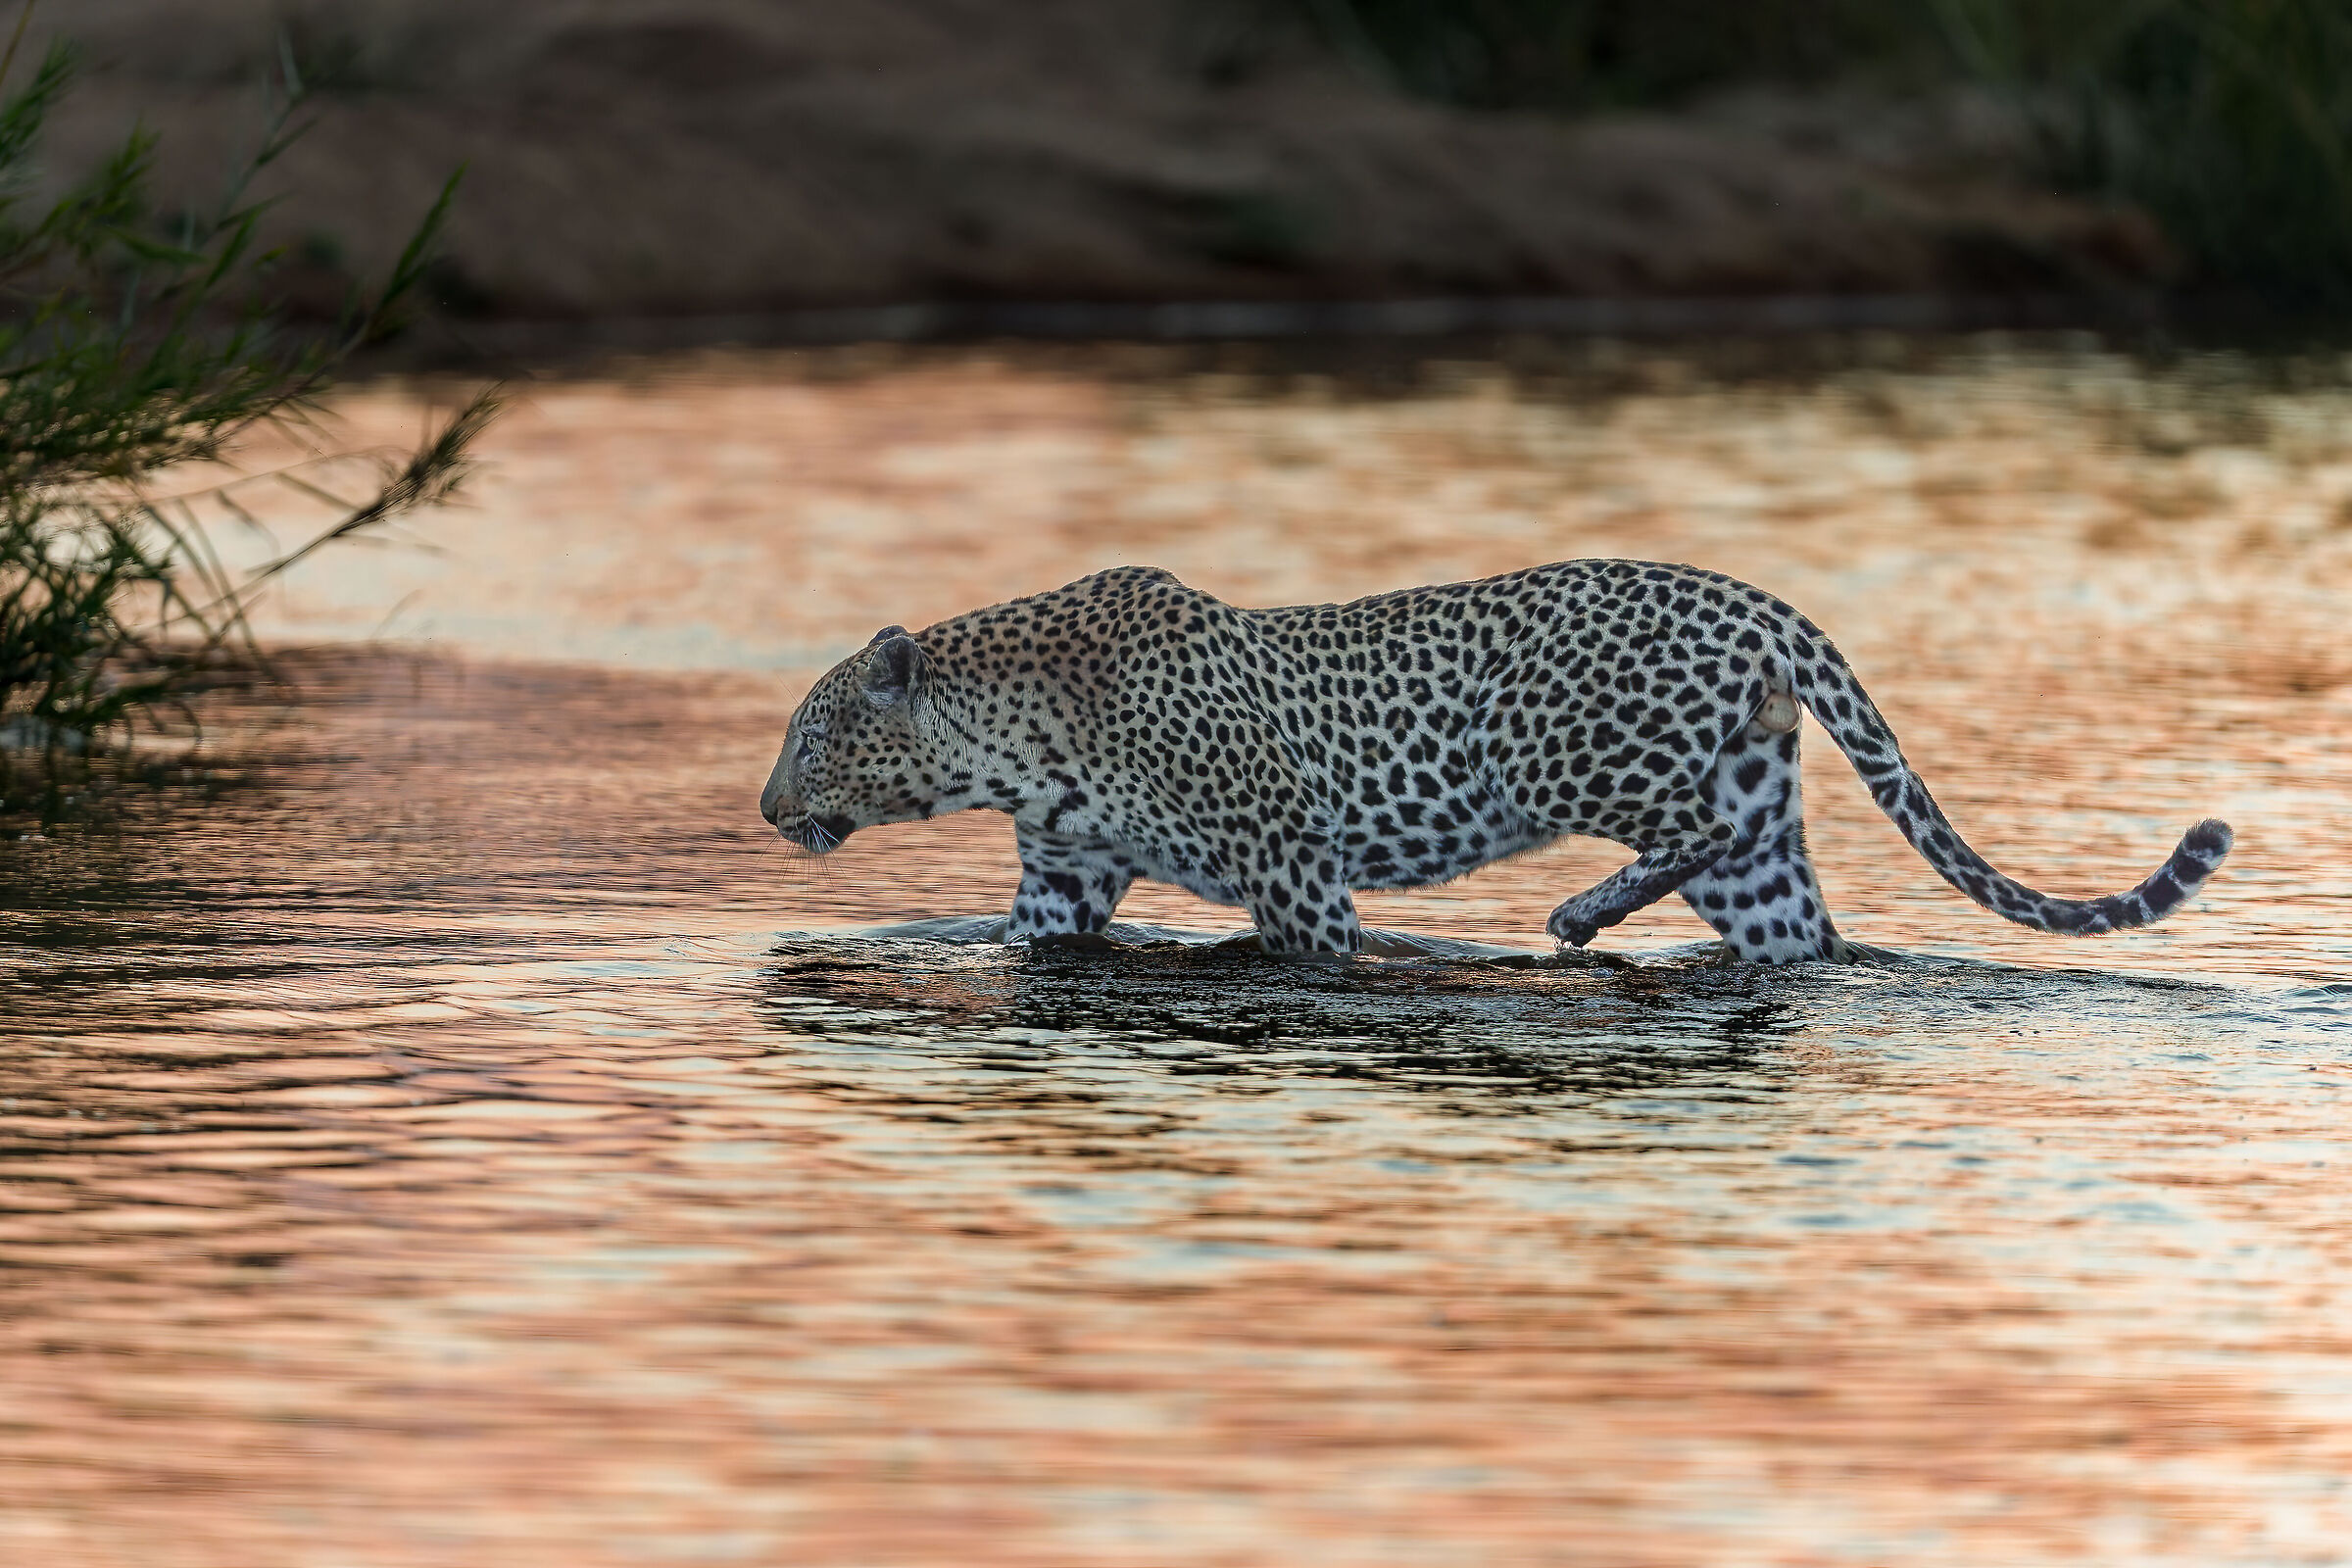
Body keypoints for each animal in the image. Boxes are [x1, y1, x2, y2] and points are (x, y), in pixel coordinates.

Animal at [759, 560, 2232, 962]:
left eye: (811, 735)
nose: (768, 808)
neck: (1012, 745)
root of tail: (1753, 597)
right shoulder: (1062, 877)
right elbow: (1026, 938)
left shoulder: (1290, 864)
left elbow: (1321, 946)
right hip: (1760, 842)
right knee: (1791, 922)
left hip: (1560, 754)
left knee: (1676, 824)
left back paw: (1577, 914)